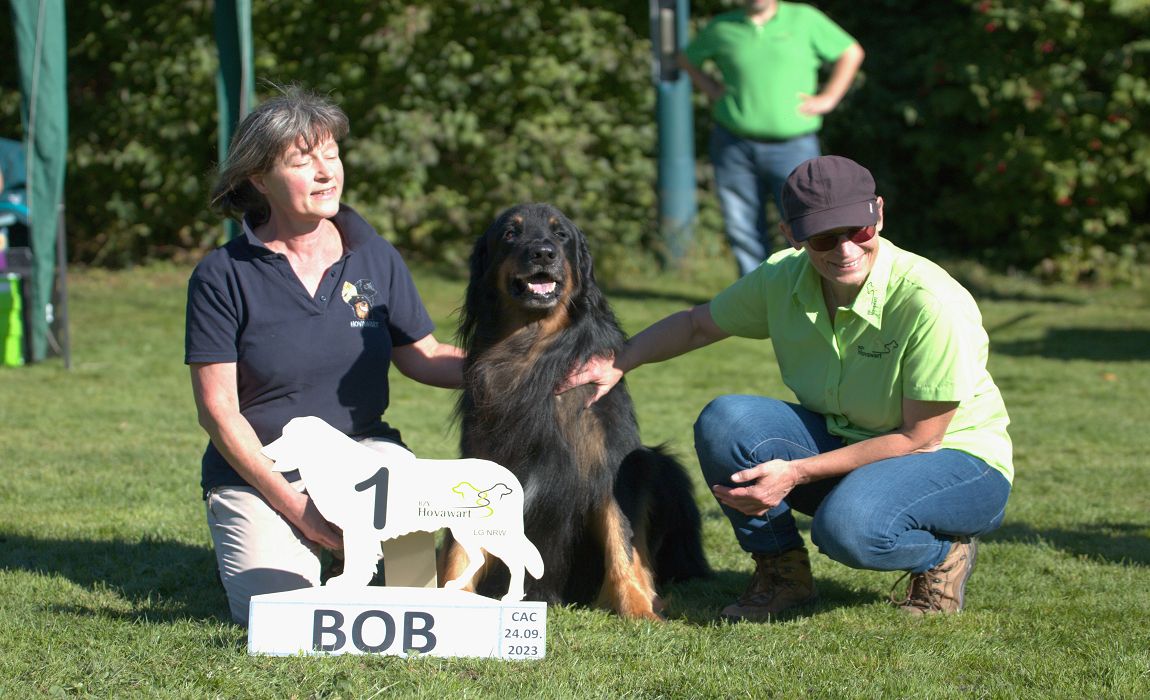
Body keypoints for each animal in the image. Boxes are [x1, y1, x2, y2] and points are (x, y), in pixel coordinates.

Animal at [439, 201, 708, 616]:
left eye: (560, 234)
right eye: (510, 233)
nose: (543, 253)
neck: (535, 352)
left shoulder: (612, 462)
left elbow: (622, 540)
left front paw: (639, 609)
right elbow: (458, 551)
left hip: (661, 466)